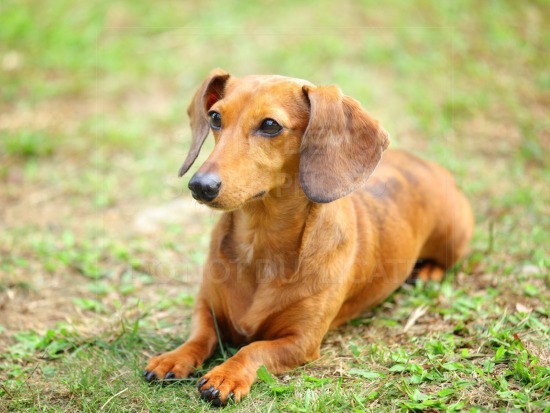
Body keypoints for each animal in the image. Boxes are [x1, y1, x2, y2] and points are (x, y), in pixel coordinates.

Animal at [144, 69, 476, 404]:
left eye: (270, 125)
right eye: (214, 117)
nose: (200, 186)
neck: (258, 246)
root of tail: (430, 165)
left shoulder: (301, 341)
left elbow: (253, 349)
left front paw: (226, 375)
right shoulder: (206, 308)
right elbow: (200, 335)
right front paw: (174, 357)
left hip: (453, 237)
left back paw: (429, 272)